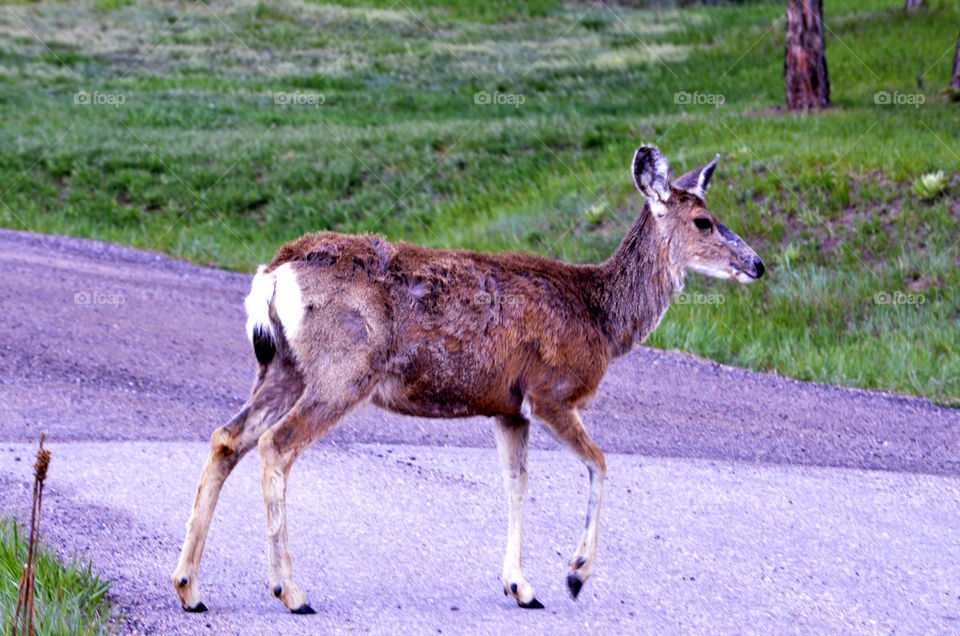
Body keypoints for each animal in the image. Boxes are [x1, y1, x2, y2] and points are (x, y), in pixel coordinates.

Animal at [171, 145, 765, 614]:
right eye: (704, 222)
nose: (757, 264)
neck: (599, 316)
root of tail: (274, 272)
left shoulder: (507, 406)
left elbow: (517, 484)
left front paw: (521, 587)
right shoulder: (551, 392)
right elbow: (599, 463)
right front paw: (574, 575)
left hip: (283, 367)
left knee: (227, 438)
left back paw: (189, 588)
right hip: (342, 370)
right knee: (276, 445)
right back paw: (291, 592)